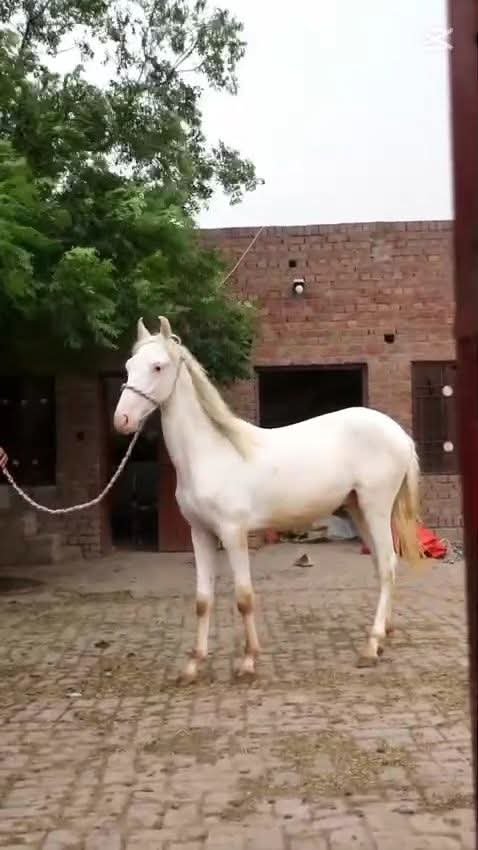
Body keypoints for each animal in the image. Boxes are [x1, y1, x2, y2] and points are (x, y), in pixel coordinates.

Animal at [114, 316, 423, 681]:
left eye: (158, 367)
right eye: (129, 366)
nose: (122, 420)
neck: (211, 452)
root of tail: (400, 434)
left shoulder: (233, 533)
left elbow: (244, 597)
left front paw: (248, 661)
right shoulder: (200, 534)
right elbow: (203, 600)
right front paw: (194, 664)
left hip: (376, 508)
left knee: (387, 566)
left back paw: (371, 647)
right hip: (358, 508)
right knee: (381, 565)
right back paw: (384, 634)